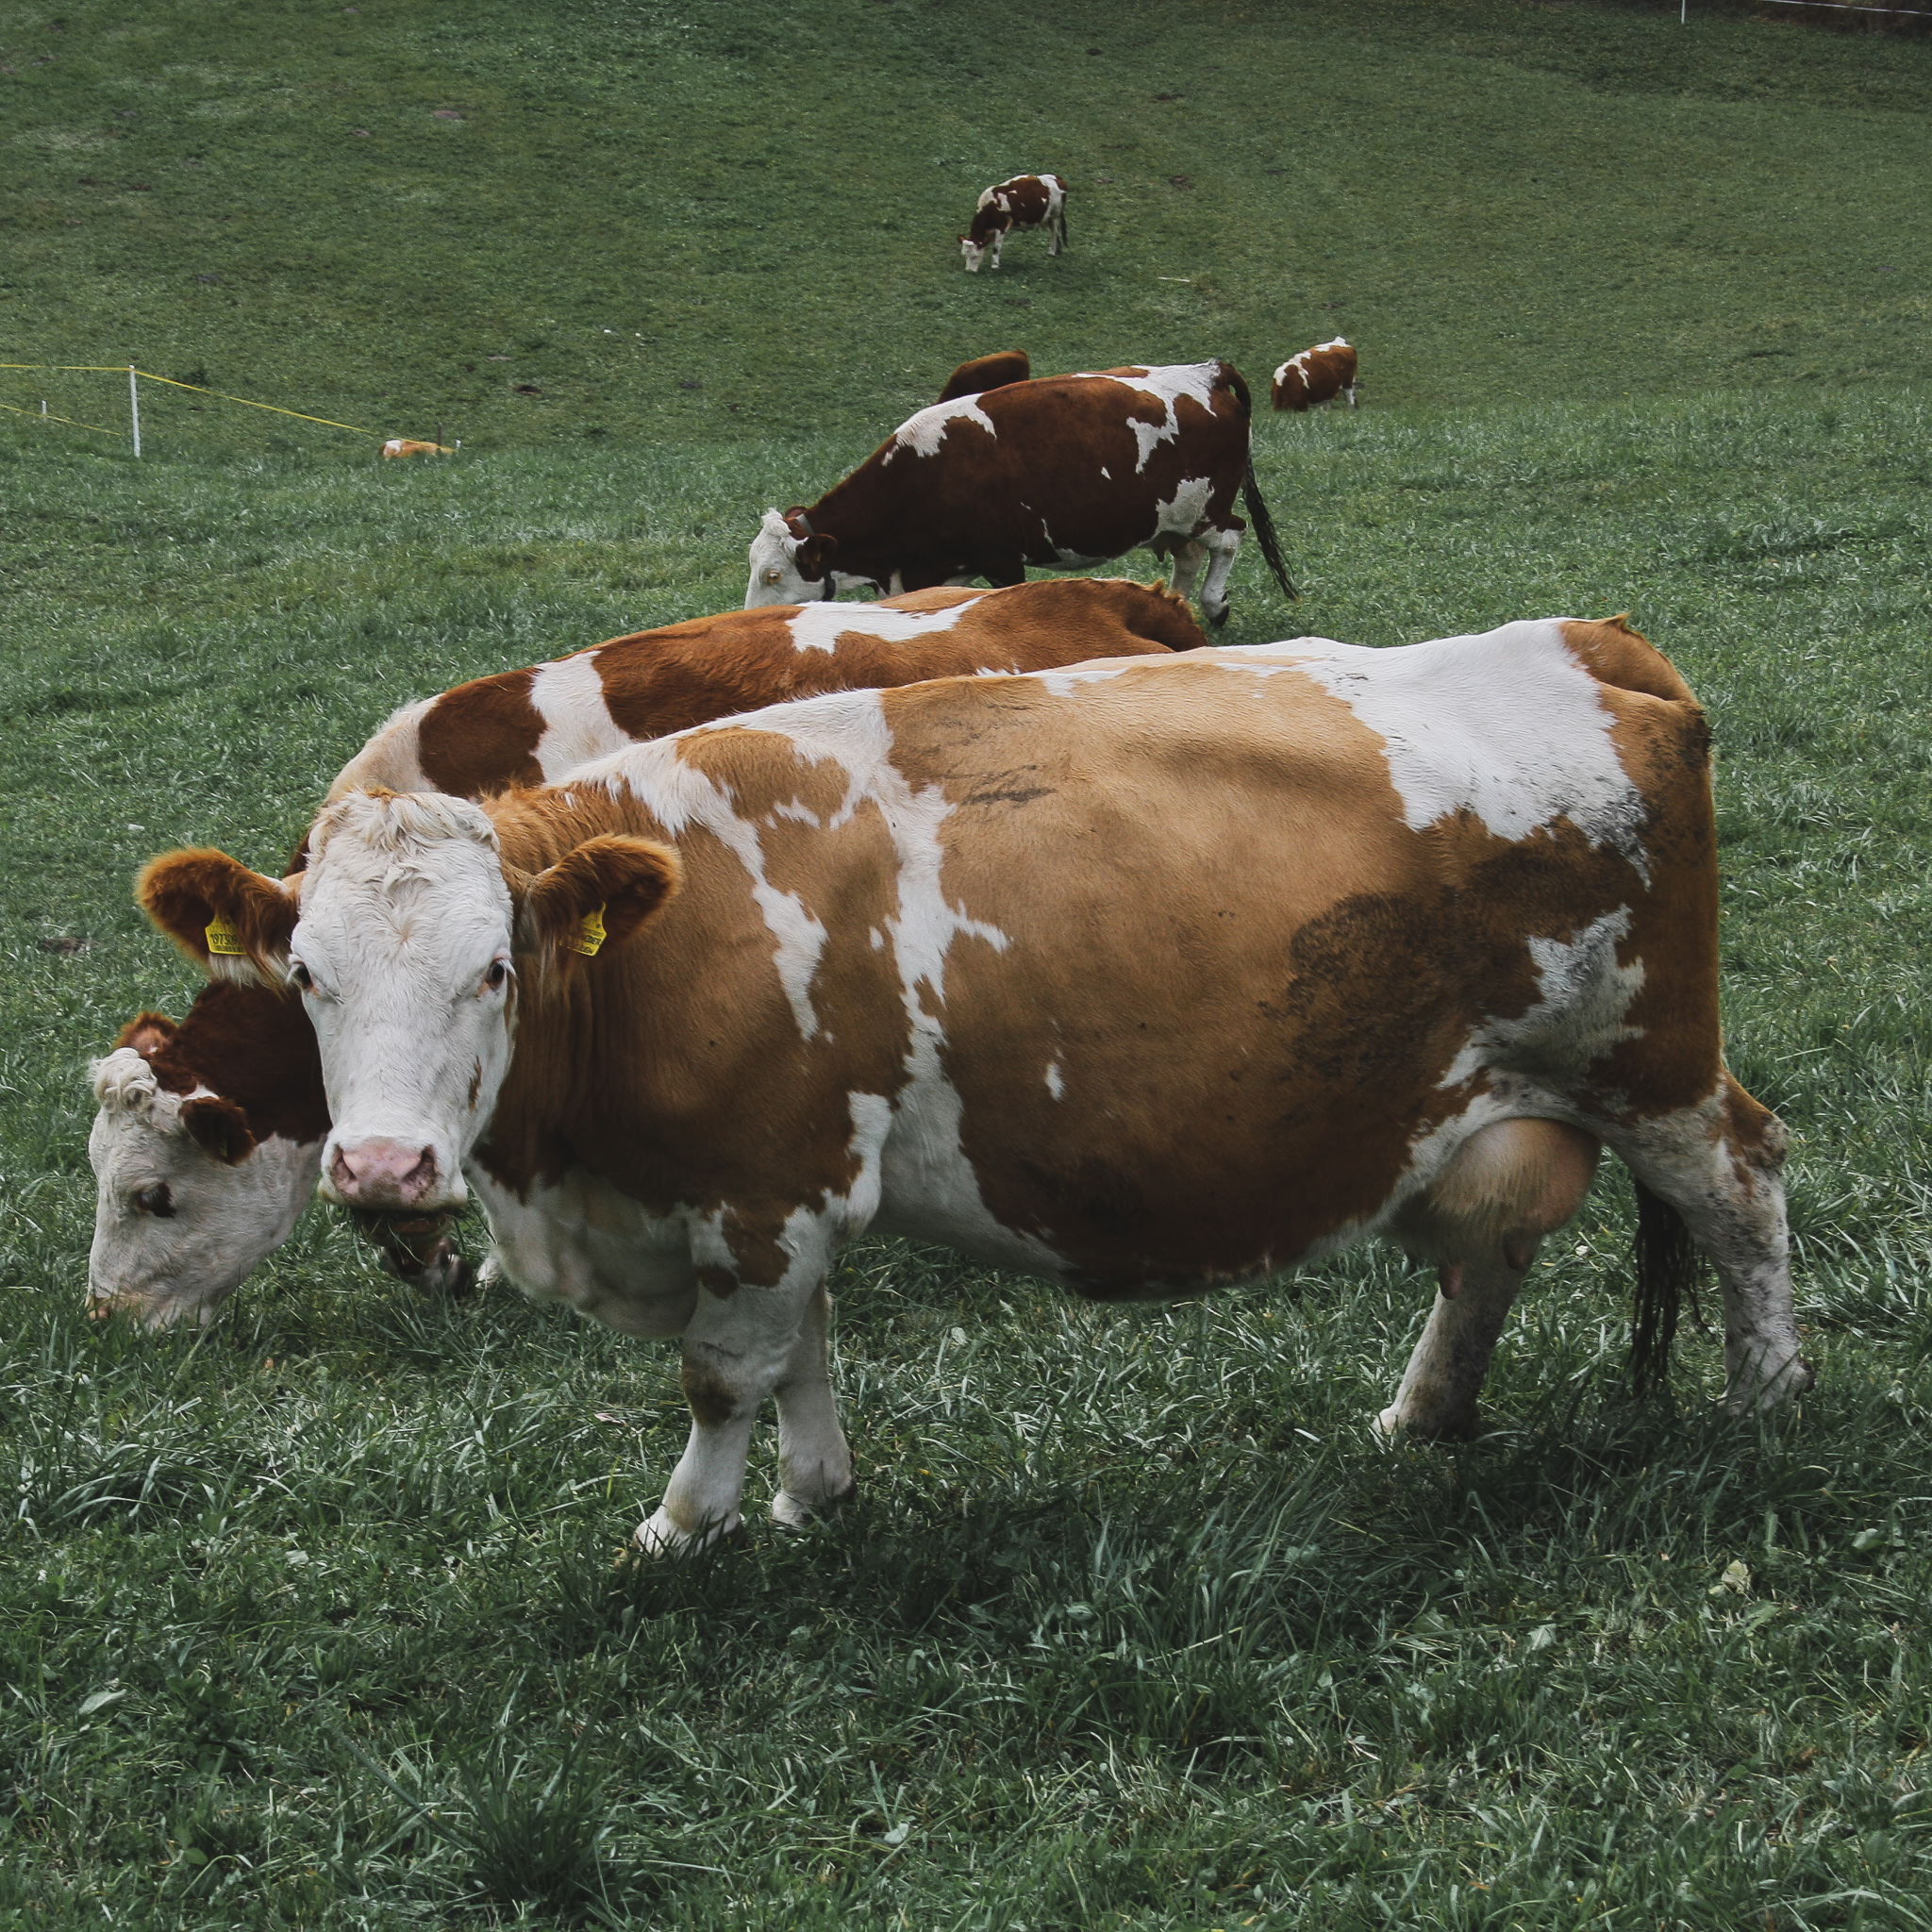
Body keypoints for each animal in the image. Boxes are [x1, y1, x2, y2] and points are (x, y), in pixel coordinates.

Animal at [745, 361, 1296, 625]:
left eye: (774, 575)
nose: (748, 619)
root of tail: (1207, 371)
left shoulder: (1003, 560)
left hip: (1206, 508)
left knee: (1229, 538)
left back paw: (1213, 605)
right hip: (1172, 518)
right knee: (1187, 556)